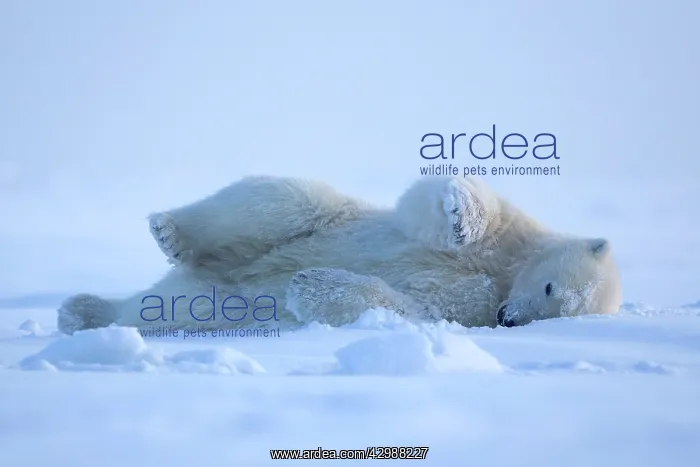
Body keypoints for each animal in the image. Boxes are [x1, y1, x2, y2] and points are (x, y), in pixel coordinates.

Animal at [57, 175, 623, 334]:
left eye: (554, 314)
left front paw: (309, 284)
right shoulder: (513, 235)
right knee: (285, 200)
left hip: (214, 299)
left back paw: (85, 311)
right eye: (550, 287)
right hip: (315, 217)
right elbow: (430, 209)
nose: (510, 320)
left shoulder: (474, 307)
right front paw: (460, 217)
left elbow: (414, 307)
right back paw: (169, 233)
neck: (506, 273)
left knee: (188, 309)